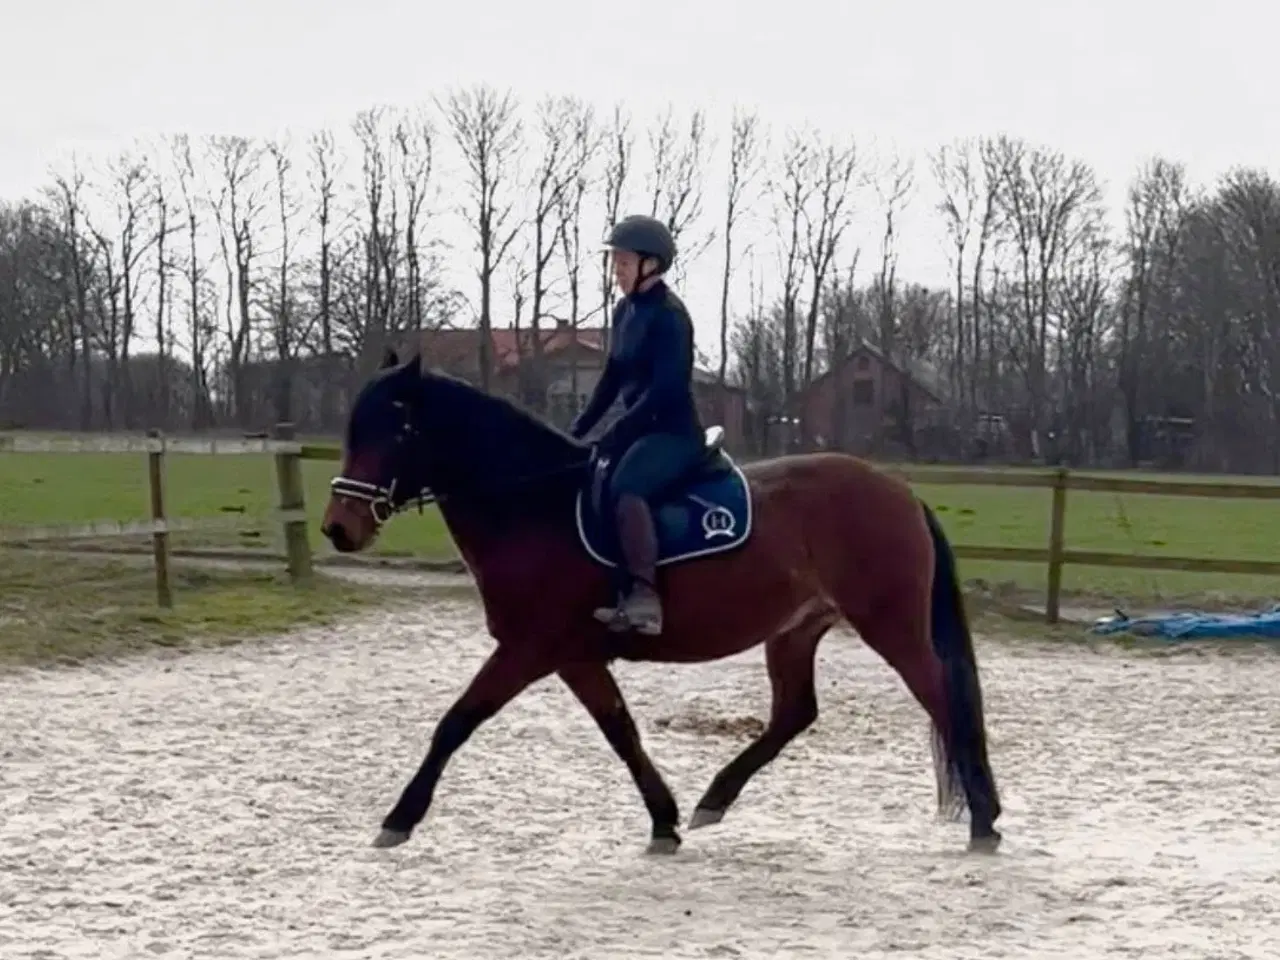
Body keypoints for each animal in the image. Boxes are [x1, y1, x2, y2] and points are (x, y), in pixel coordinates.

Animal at [320, 349, 1003, 856]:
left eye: (396, 429)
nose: (339, 528)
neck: (533, 506)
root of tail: (898, 490)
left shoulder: (528, 649)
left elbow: (457, 721)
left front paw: (399, 818)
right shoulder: (573, 656)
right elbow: (620, 729)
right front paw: (664, 820)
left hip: (890, 625)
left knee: (943, 698)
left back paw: (984, 821)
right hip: (795, 629)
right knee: (794, 713)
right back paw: (712, 802)